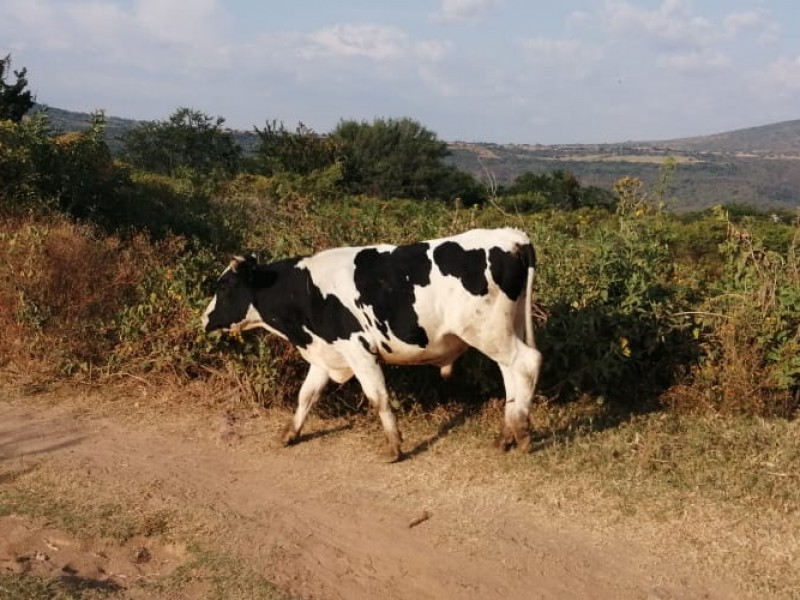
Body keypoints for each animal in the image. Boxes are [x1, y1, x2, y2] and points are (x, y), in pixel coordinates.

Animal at [202, 227, 544, 462]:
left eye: (224, 285)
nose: (205, 318)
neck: (305, 292)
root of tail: (512, 236)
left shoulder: (359, 350)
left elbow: (378, 397)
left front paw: (394, 447)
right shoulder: (326, 354)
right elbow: (306, 395)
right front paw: (288, 434)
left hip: (488, 332)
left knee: (527, 364)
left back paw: (523, 434)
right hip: (501, 331)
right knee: (510, 374)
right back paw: (506, 436)